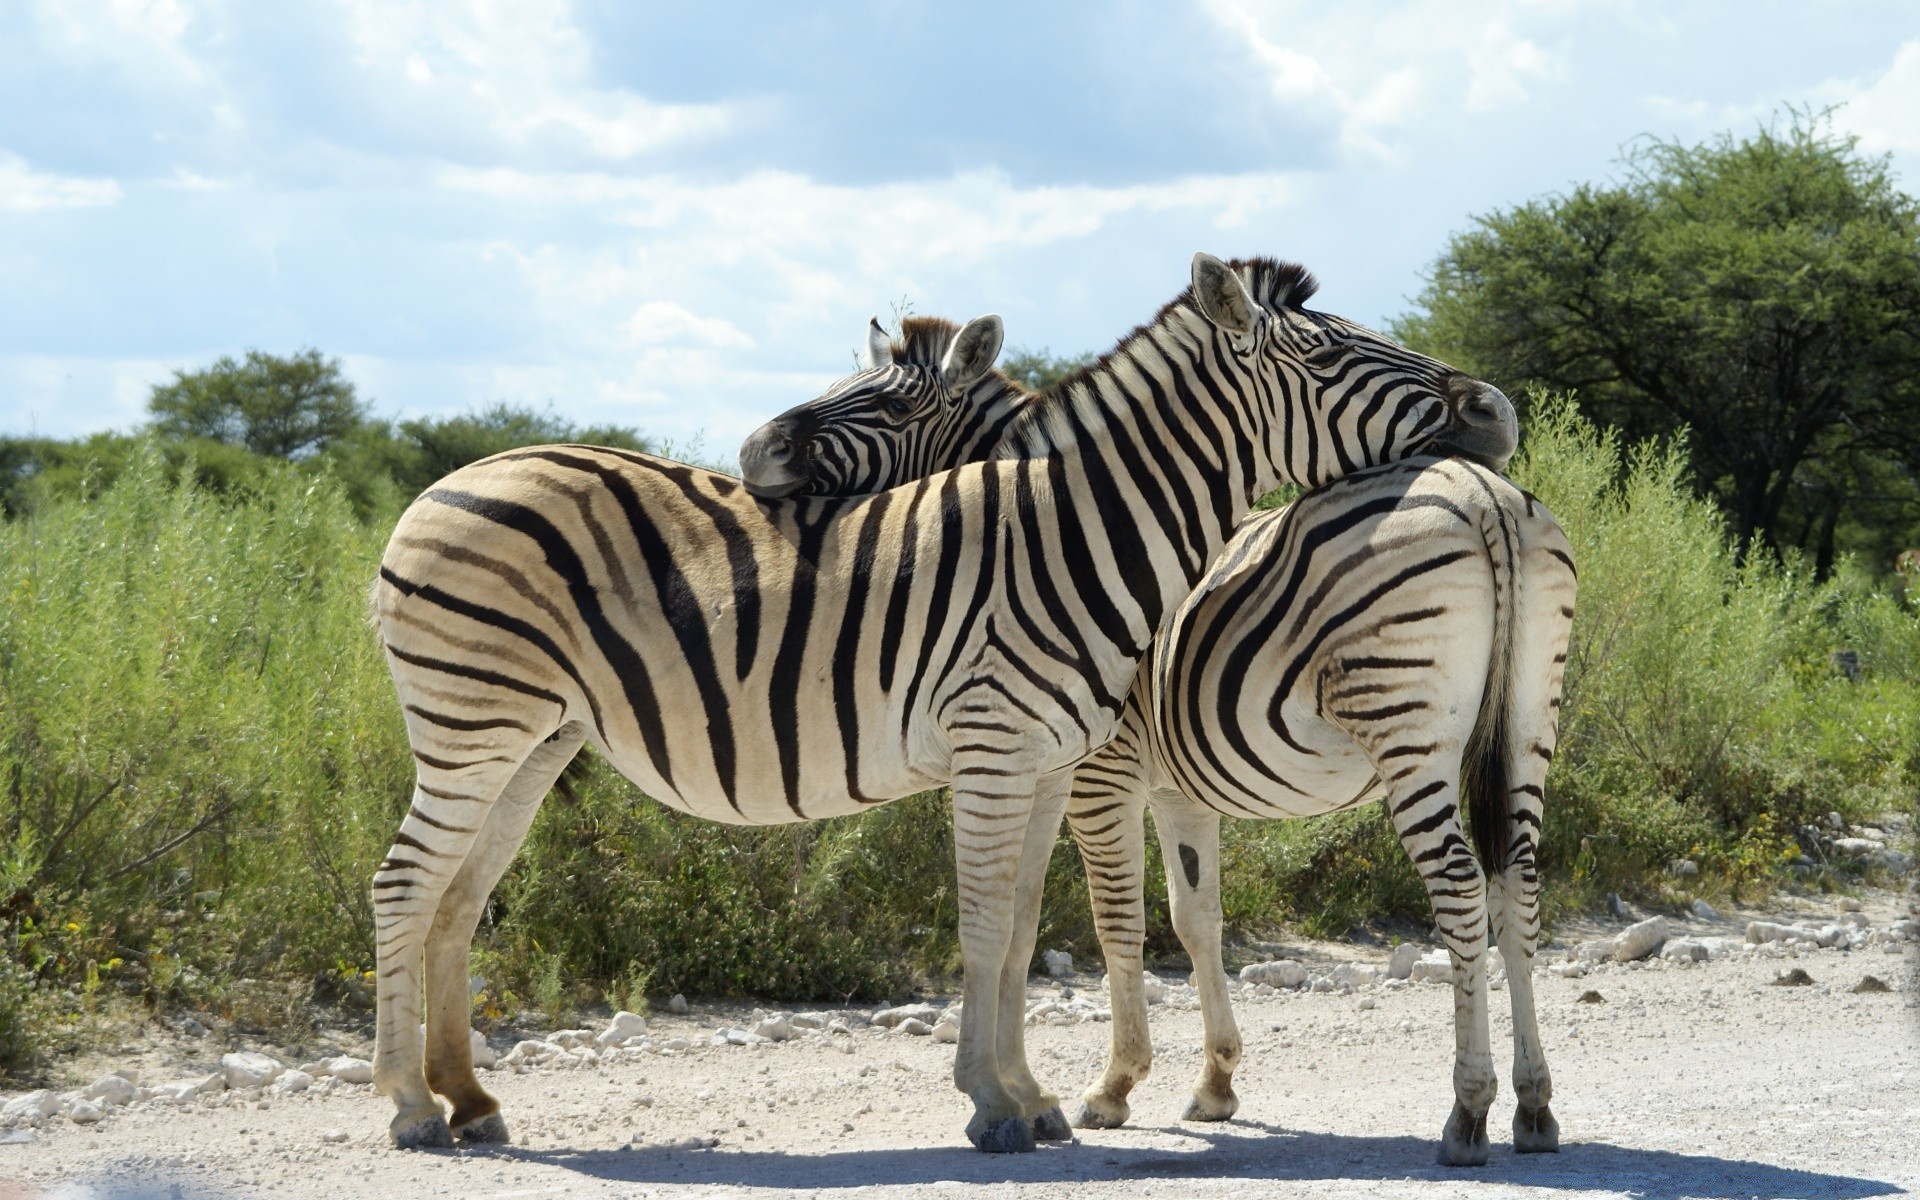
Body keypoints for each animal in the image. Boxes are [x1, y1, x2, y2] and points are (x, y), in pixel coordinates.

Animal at [366, 249, 1489, 1152]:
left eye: (895, 402)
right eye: (1328, 358)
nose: (1491, 407)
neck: (1068, 536)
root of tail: (443, 483)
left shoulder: (1050, 763)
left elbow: (1026, 927)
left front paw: (1032, 1098)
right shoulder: (998, 746)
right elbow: (989, 924)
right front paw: (994, 1104)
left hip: (533, 739)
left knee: (456, 899)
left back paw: (469, 1100)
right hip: (473, 723)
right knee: (404, 884)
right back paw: (411, 1109)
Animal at [737, 295, 1574, 1167]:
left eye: (891, 405)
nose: (753, 453)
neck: (1052, 554)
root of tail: (1482, 493)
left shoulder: (1097, 775)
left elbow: (1116, 920)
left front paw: (1115, 1085)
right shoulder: (1180, 787)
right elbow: (1194, 918)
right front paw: (1217, 1081)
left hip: (1406, 724)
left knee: (1460, 884)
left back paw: (1468, 1111)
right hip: (1528, 718)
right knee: (1517, 880)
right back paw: (1533, 1106)